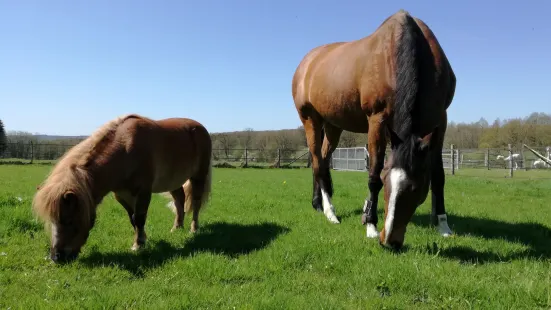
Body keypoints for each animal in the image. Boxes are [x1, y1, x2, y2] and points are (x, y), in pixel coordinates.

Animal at [32, 114, 212, 262]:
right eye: (52, 220)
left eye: (68, 220)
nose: (56, 257)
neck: (125, 148)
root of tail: (200, 128)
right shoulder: (122, 195)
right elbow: (132, 219)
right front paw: (142, 240)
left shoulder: (143, 192)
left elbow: (139, 218)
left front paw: (138, 245)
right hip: (173, 181)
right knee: (179, 200)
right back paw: (177, 227)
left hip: (198, 176)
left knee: (196, 202)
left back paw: (193, 229)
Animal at [294, 9, 458, 249]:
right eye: (385, 180)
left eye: (416, 188)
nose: (388, 240)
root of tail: (306, 63)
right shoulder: (377, 120)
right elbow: (372, 173)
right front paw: (370, 224)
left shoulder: (440, 119)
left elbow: (438, 175)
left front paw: (443, 226)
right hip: (310, 119)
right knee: (317, 161)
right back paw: (330, 212)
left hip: (333, 125)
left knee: (323, 159)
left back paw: (318, 203)